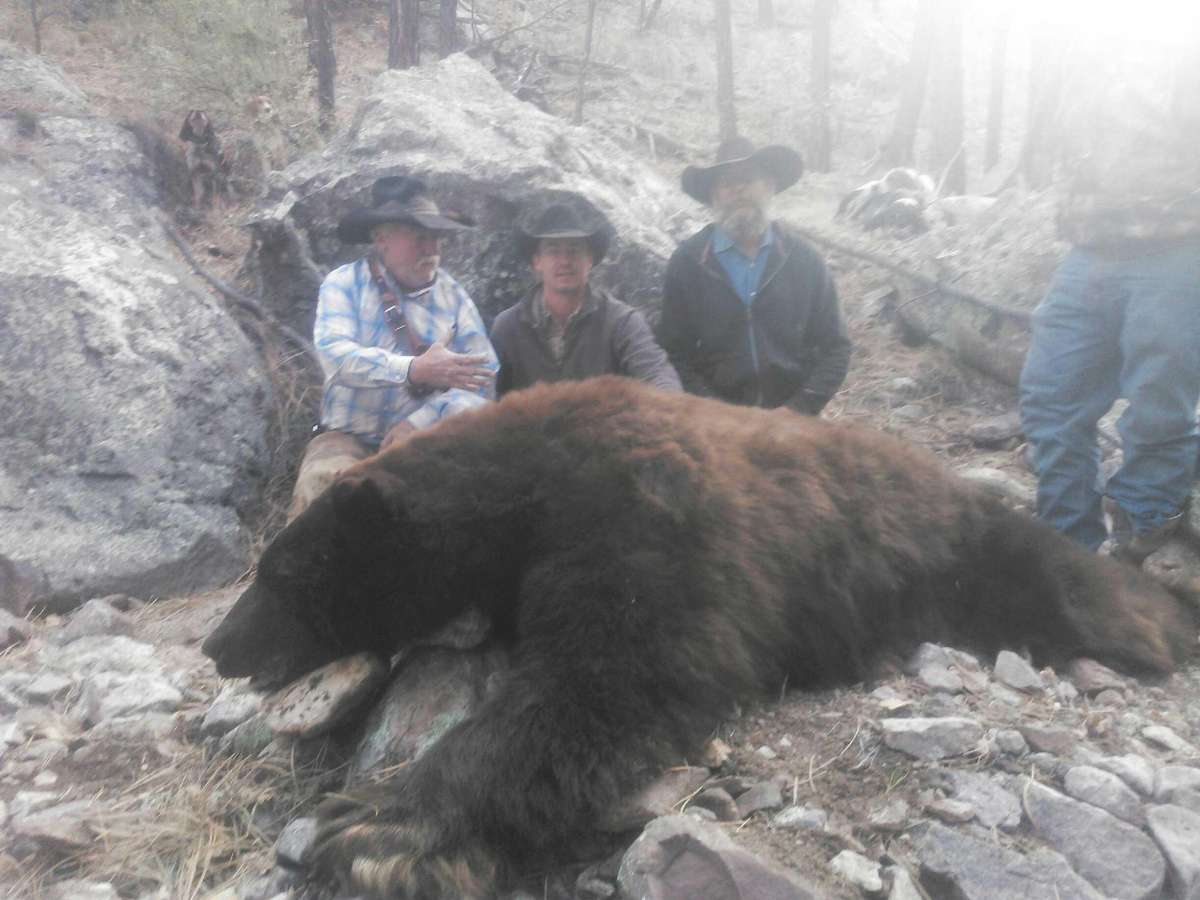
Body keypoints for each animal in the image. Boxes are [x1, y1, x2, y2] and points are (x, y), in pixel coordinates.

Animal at [202, 377, 1192, 900]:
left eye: (279, 573)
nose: (216, 645)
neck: (525, 482)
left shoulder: (649, 508)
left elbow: (616, 674)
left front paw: (378, 823)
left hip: (967, 545)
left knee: (1074, 591)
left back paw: (1161, 614)